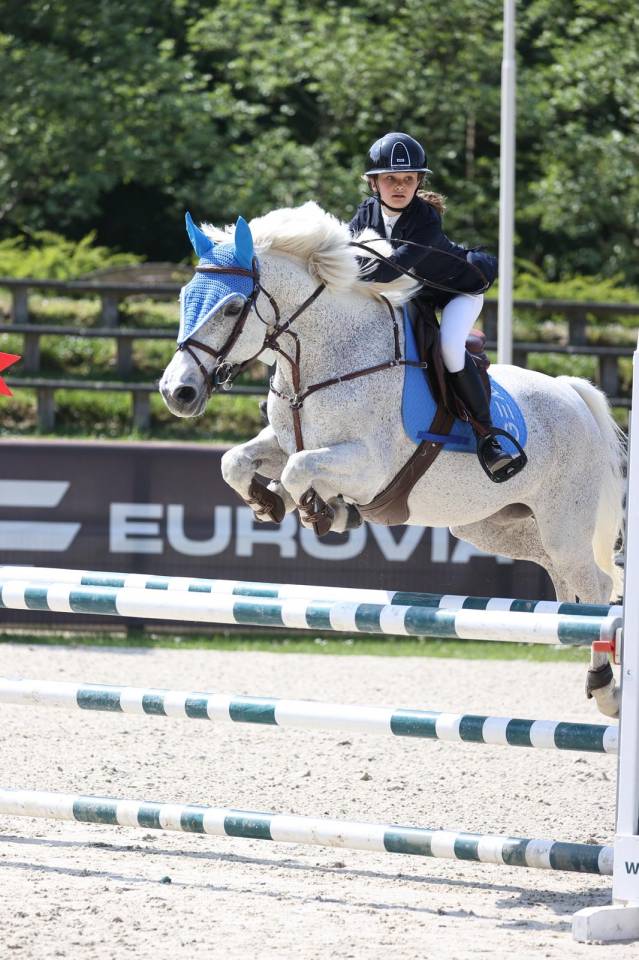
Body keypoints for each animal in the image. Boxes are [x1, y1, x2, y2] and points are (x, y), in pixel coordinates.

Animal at [159, 202, 625, 717]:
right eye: (184, 296)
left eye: (232, 307)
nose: (177, 392)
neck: (323, 357)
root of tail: (573, 392)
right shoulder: (286, 442)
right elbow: (237, 462)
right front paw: (272, 502)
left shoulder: (370, 467)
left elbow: (300, 470)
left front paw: (324, 510)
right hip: (496, 525)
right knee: (569, 584)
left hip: (564, 524)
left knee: (598, 587)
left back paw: (606, 688)